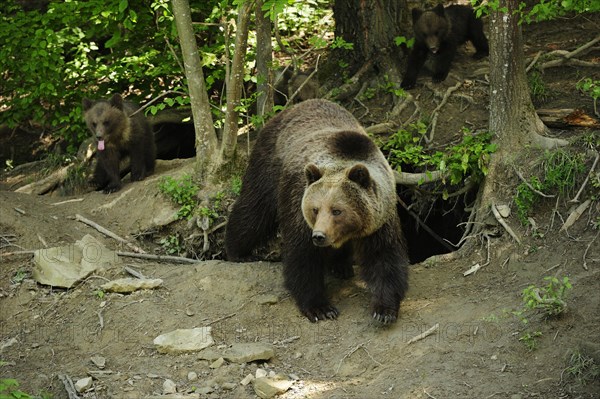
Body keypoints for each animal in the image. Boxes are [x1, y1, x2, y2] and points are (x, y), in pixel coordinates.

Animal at [225, 100, 408, 324]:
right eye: (315, 209)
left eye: (337, 210)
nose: (319, 236)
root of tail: (292, 108)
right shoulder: (298, 204)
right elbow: (303, 256)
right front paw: (320, 308)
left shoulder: (380, 219)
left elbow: (384, 258)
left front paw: (384, 310)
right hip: (269, 163)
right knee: (254, 210)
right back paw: (238, 252)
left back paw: (341, 266)